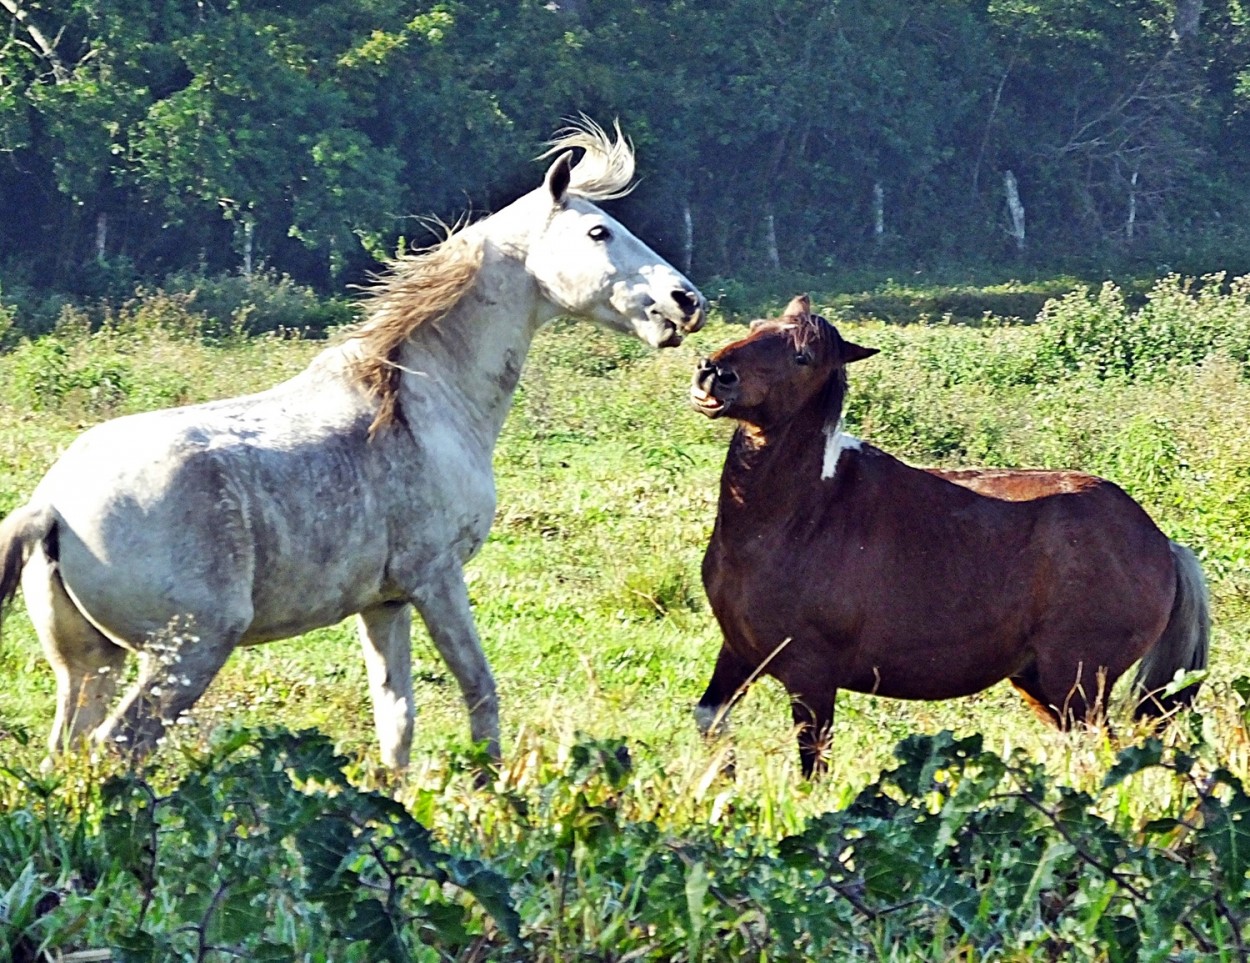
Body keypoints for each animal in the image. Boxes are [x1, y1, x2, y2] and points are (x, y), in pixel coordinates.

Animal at [0, 120, 705, 765]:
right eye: (598, 232)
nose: (686, 301)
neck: (422, 403)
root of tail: (52, 506)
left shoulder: (384, 603)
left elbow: (396, 722)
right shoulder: (435, 578)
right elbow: (480, 692)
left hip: (91, 665)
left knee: (67, 754)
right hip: (185, 655)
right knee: (116, 749)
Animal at [690, 296, 1205, 775]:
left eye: (802, 356)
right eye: (757, 326)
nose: (713, 373)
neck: (800, 516)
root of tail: (1163, 544)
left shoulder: (810, 676)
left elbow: (813, 766)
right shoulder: (739, 652)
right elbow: (710, 719)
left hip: (1077, 684)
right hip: (1042, 685)